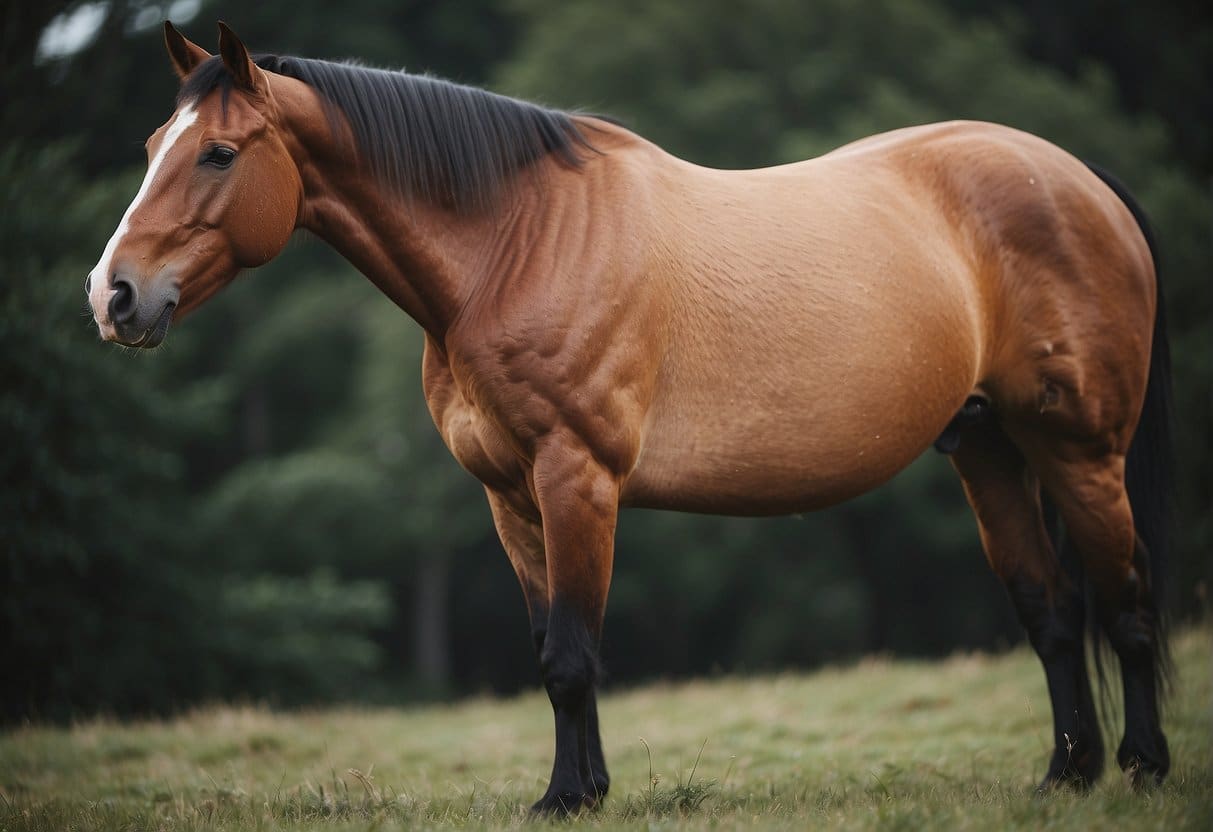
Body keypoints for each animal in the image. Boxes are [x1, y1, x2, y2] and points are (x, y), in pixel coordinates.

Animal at [83, 21, 1164, 815]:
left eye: (220, 152)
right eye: (151, 148)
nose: (113, 295)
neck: (516, 244)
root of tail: (1083, 182)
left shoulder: (577, 477)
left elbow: (570, 652)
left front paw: (566, 798)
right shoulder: (510, 498)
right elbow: (555, 649)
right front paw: (584, 789)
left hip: (1080, 452)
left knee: (1124, 606)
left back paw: (1143, 766)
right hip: (987, 447)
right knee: (1051, 612)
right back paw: (1065, 775)